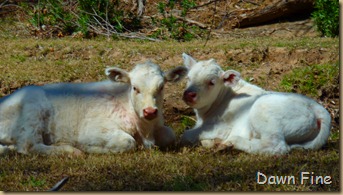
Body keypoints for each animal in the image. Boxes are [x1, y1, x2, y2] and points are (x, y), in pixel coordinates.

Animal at [0, 61, 188, 155]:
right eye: (135, 87)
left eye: (161, 87)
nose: (150, 111)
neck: (145, 130)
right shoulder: (92, 130)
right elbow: (128, 141)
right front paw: (89, 148)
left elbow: (169, 135)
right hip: (32, 110)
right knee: (28, 146)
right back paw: (71, 150)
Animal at [181, 53, 332, 154]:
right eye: (188, 78)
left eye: (211, 82)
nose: (189, 94)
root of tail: (318, 108)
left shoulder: (220, 127)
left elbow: (186, 134)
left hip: (264, 111)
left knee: (276, 147)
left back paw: (232, 142)